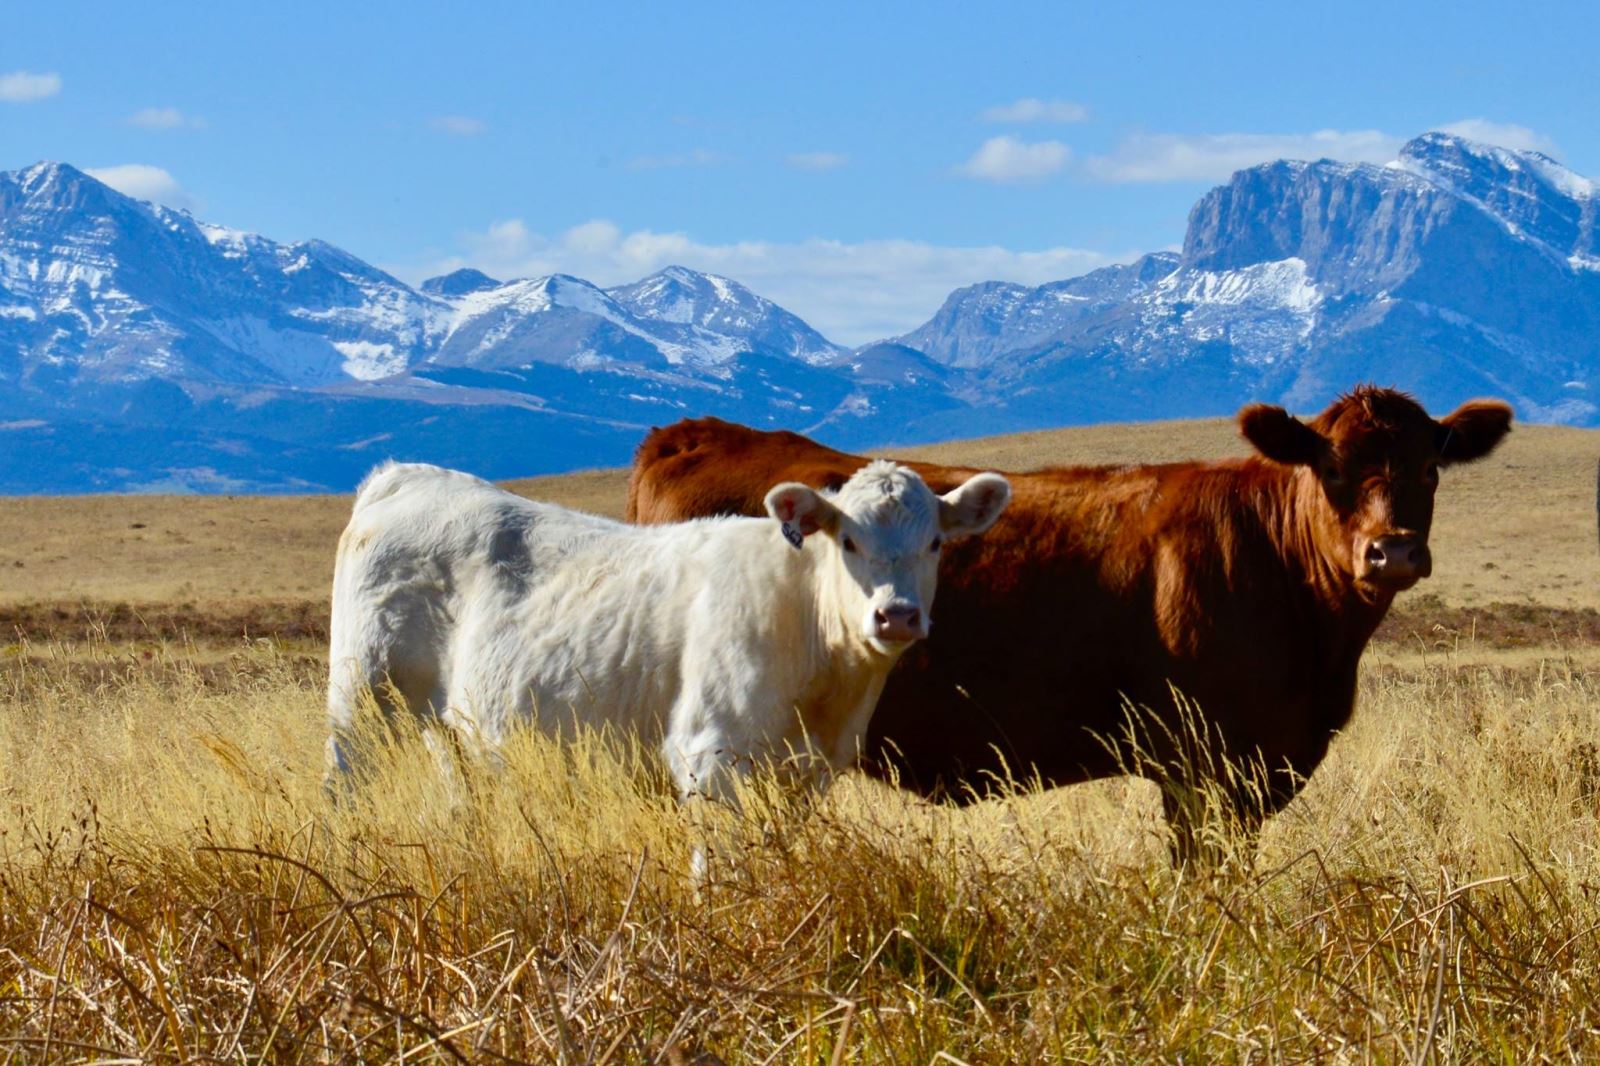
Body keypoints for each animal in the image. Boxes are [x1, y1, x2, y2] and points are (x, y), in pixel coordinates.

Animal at [323, 460, 1004, 816]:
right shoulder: (709, 754)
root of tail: (406, 476)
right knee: (342, 783)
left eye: (935, 543)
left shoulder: (808, 775)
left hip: (446, 725)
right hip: (360, 697)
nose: (896, 616)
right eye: (849, 541)